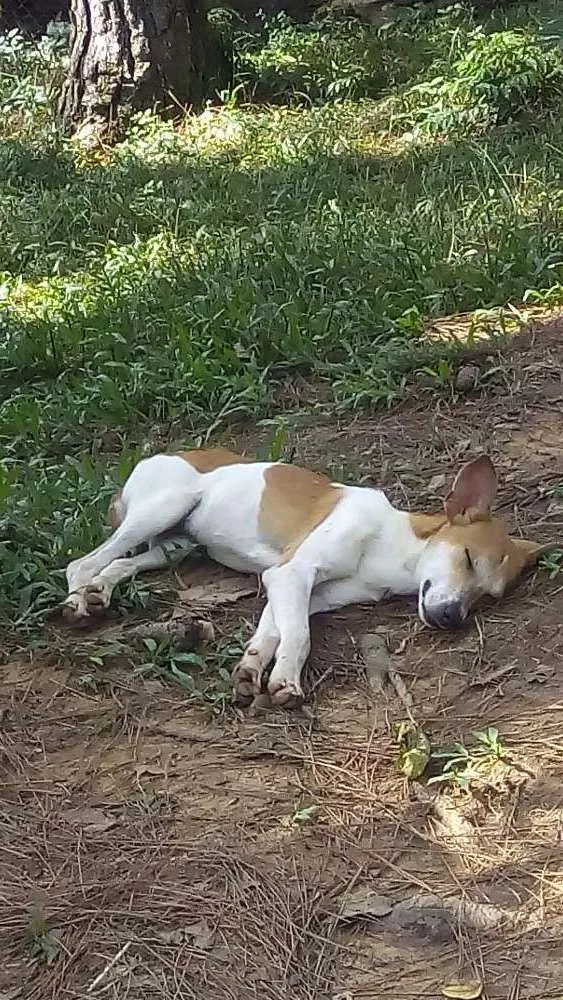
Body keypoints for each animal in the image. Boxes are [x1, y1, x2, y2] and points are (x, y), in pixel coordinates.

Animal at [64, 450, 548, 708]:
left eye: (487, 596)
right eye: (466, 559)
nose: (452, 619)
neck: (391, 548)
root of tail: (153, 456)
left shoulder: (301, 591)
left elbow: (274, 632)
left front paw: (253, 668)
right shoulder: (292, 573)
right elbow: (299, 637)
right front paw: (286, 682)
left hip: (175, 545)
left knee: (116, 566)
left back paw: (98, 594)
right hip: (164, 507)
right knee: (82, 563)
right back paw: (75, 604)